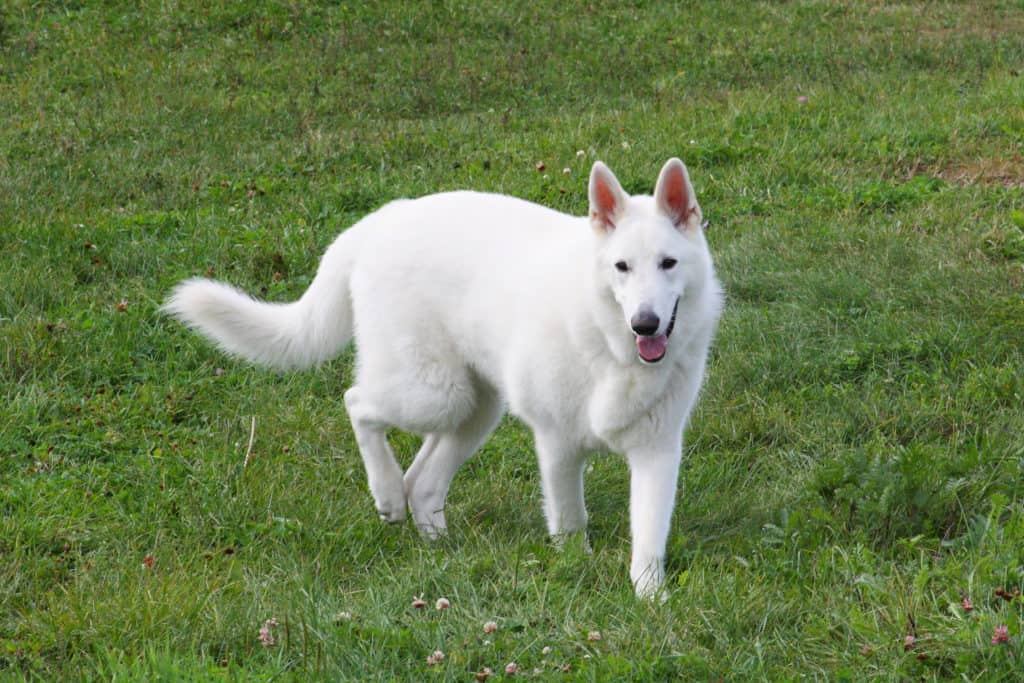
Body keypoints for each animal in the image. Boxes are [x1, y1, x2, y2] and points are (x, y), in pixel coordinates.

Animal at [165, 158, 720, 598]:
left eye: (668, 264)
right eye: (621, 267)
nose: (645, 324)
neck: (610, 345)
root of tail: (383, 217)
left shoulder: (657, 452)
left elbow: (649, 537)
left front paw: (650, 600)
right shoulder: (558, 444)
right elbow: (569, 520)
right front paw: (574, 570)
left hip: (474, 407)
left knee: (425, 482)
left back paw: (437, 546)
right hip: (434, 394)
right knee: (357, 403)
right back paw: (387, 494)